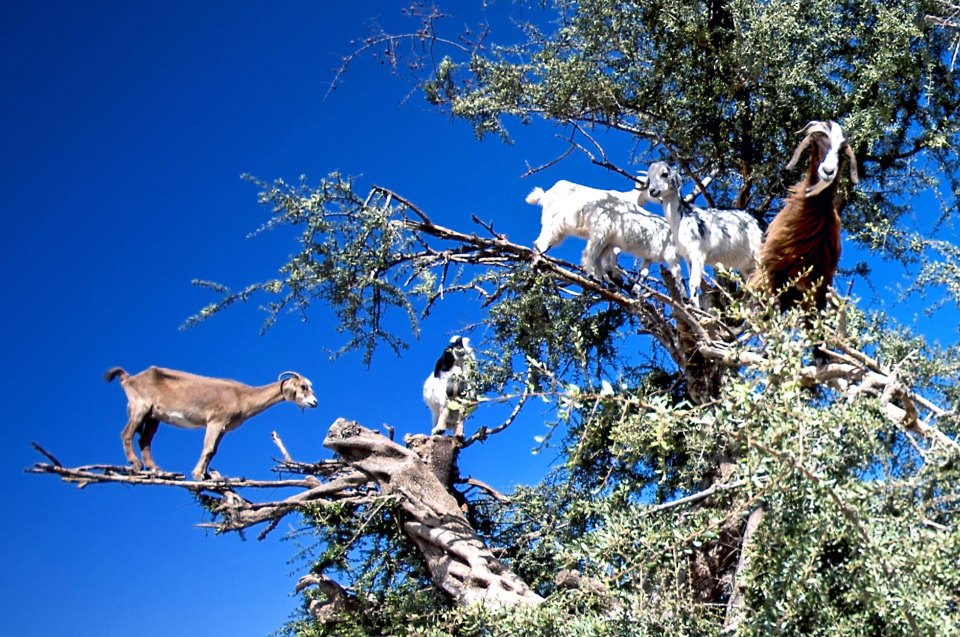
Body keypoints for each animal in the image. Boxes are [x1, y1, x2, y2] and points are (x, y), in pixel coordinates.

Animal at [104, 366, 316, 480]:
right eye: (303, 387)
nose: (315, 402)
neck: (243, 396)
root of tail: (129, 378)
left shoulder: (223, 428)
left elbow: (212, 451)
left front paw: (206, 475)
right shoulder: (215, 421)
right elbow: (207, 449)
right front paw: (198, 475)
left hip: (153, 416)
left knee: (145, 440)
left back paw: (157, 469)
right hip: (140, 406)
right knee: (127, 433)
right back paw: (136, 464)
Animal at [528, 175, 680, 282]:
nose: (661, 198)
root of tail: (545, 194)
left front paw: (609, 274)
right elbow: (615, 252)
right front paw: (615, 274)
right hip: (552, 222)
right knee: (540, 242)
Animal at [644, 160, 764, 306]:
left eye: (664, 174)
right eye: (649, 178)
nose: (652, 191)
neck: (683, 216)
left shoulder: (698, 253)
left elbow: (693, 283)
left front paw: (697, 308)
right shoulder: (688, 257)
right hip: (748, 265)